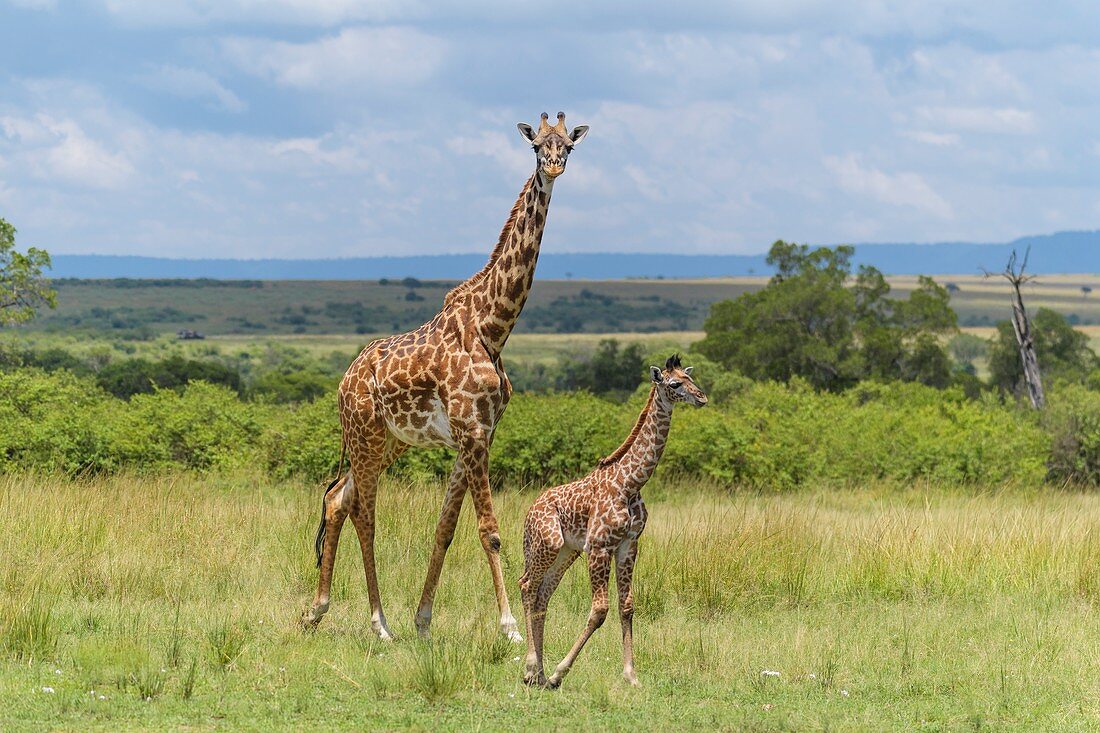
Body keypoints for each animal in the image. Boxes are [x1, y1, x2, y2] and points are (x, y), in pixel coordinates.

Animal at [301, 110, 589, 638]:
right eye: (536, 144)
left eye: (569, 146)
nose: (554, 166)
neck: (494, 327)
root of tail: (345, 380)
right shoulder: (471, 433)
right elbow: (490, 531)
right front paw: (510, 626)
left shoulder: (478, 434)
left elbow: (446, 528)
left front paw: (423, 621)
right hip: (366, 436)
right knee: (365, 514)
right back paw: (379, 623)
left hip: (386, 441)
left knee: (336, 500)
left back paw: (317, 610)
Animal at [519, 354, 708, 686]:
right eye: (674, 384)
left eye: (691, 378)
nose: (702, 398)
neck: (630, 483)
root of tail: (530, 511)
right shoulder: (599, 546)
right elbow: (599, 610)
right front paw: (559, 672)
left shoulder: (628, 545)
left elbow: (627, 606)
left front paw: (631, 675)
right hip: (547, 544)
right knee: (527, 586)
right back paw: (532, 669)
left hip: (566, 552)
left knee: (542, 596)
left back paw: (538, 673)